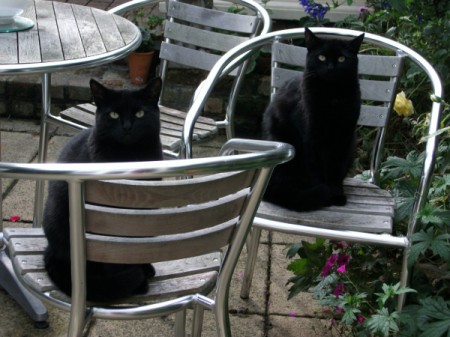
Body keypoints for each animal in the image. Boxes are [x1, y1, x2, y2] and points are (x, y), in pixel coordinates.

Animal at [42, 77, 163, 300]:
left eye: (140, 113)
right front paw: (136, 282)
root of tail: (50, 250)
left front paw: (143, 269)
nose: (127, 127)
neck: (130, 157)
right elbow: (114, 257)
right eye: (113, 114)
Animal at [262, 27, 364, 210]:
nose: (331, 68)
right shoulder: (311, 137)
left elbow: (336, 169)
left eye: (342, 58)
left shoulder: (344, 137)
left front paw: (337, 194)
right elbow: (316, 170)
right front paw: (325, 194)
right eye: (321, 57)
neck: (332, 97)